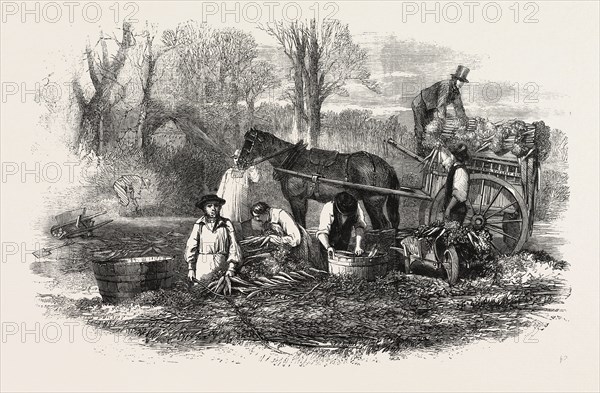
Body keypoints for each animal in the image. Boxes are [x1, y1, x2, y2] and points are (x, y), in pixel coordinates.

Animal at [237, 128, 400, 230]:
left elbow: (300, 224)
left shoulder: (297, 200)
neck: (292, 160)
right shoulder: (302, 200)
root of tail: (387, 167)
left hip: (373, 201)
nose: (239, 162)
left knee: (384, 226)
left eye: (250, 143)